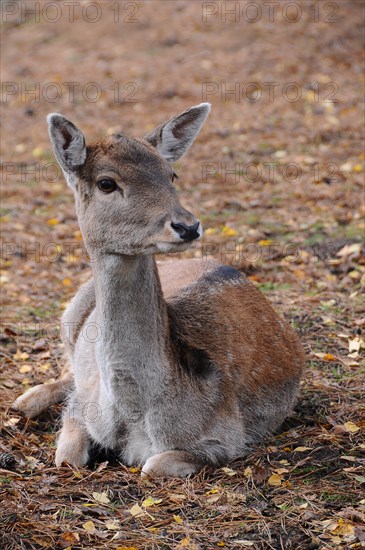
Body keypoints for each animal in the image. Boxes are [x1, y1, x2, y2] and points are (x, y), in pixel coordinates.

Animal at [12, 104, 304, 478]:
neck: (134, 413)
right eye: (106, 183)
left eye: (171, 175)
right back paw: (22, 403)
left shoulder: (226, 438)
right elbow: (67, 456)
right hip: (69, 315)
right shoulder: (81, 407)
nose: (188, 226)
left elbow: (151, 465)